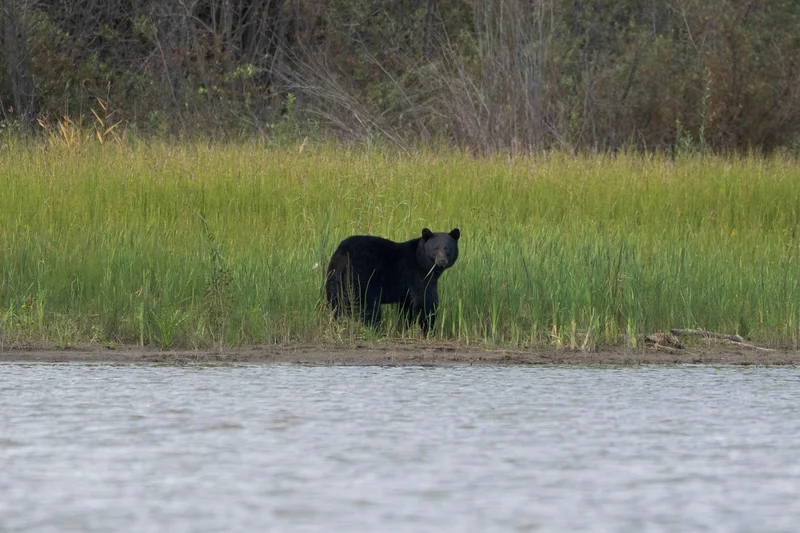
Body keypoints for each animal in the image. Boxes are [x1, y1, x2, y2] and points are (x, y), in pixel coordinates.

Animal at [325, 228, 460, 333]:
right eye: (435, 248)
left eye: (447, 248)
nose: (441, 261)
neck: (420, 260)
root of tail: (344, 255)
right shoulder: (418, 275)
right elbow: (425, 301)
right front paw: (428, 329)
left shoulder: (407, 291)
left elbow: (407, 307)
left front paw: (407, 328)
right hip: (362, 278)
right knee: (369, 306)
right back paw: (375, 329)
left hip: (334, 277)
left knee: (337, 304)